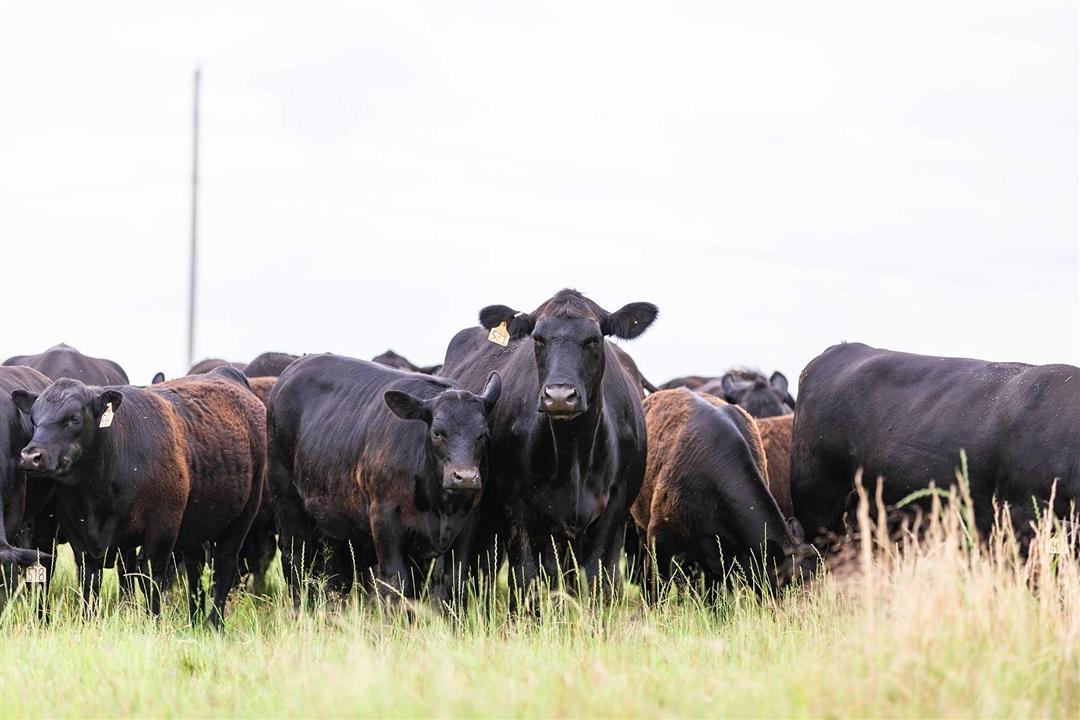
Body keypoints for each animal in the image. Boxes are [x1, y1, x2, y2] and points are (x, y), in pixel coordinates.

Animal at [14, 367, 265, 626]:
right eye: (34, 419)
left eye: (74, 418)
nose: (31, 456)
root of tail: (226, 373)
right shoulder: (80, 540)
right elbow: (89, 584)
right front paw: (88, 622)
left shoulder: (161, 531)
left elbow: (150, 579)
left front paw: (153, 623)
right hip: (196, 526)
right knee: (195, 567)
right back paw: (194, 619)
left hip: (242, 517)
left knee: (225, 565)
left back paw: (214, 623)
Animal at [265, 354, 501, 608]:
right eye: (437, 432)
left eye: (483, 434)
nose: (465, 477)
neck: (440, 504)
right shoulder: (385, 517)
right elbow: (396, 581)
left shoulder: (468, 521)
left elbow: (455, 580)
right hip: (287, 500)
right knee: (295, 556)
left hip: (333, 516)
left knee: (335, 575)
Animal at [438, 289, 656, 604]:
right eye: (538, 338)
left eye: (594, 338)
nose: (560, 396)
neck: (573, 452)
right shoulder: (519, 510)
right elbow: (527, 579)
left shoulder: (615, 508)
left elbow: (597, 581)